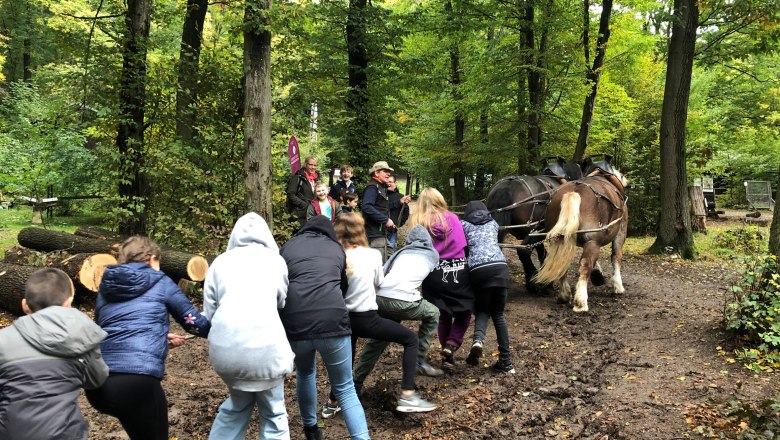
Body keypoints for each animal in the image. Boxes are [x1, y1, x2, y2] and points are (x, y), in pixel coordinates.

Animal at [532, 158, 632, 312]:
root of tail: (574, 192)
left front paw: (598, 275)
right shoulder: (620, 231)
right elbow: (616, 256)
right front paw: (617, 286)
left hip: (561, 239)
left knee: (563, 262)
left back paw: (564, 295)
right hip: (593, 240)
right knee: (585, 264)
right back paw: (581, 302)